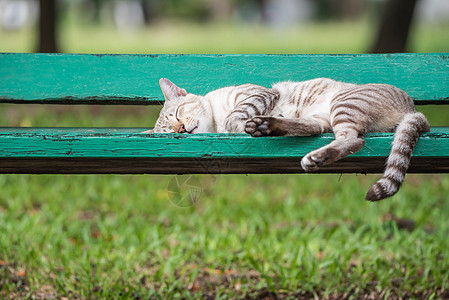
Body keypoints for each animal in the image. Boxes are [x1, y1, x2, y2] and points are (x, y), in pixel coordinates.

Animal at [150, 77, 428, 202]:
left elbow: (235, 115)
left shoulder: (258, 94)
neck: (215, 123)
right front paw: (251, 125)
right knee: (317, 130)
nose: (181, 128)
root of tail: (412, 108)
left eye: (177, 114)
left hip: (343, 104)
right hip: (325, 117)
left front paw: (240, 123)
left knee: (354, 140)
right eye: (170, 132)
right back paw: (270, 128)